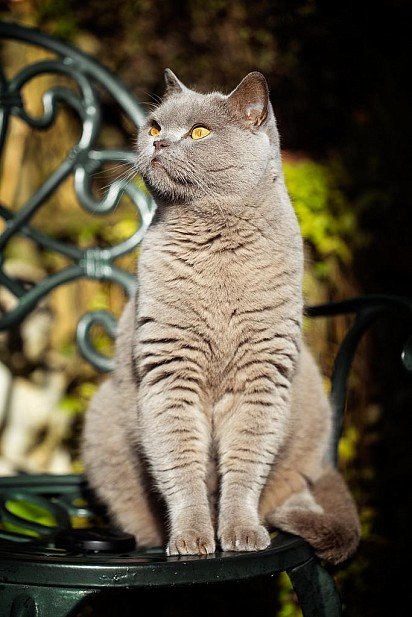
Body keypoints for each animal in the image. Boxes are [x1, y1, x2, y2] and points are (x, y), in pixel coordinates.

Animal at [82, 70, 358, 560]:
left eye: (199, 133)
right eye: (154, 126)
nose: (159, 142)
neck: (216, 243)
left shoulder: (262, 377)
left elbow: (246, 464)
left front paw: (241, 533)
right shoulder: (169, 373)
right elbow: (180, 465)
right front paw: (192, 538)